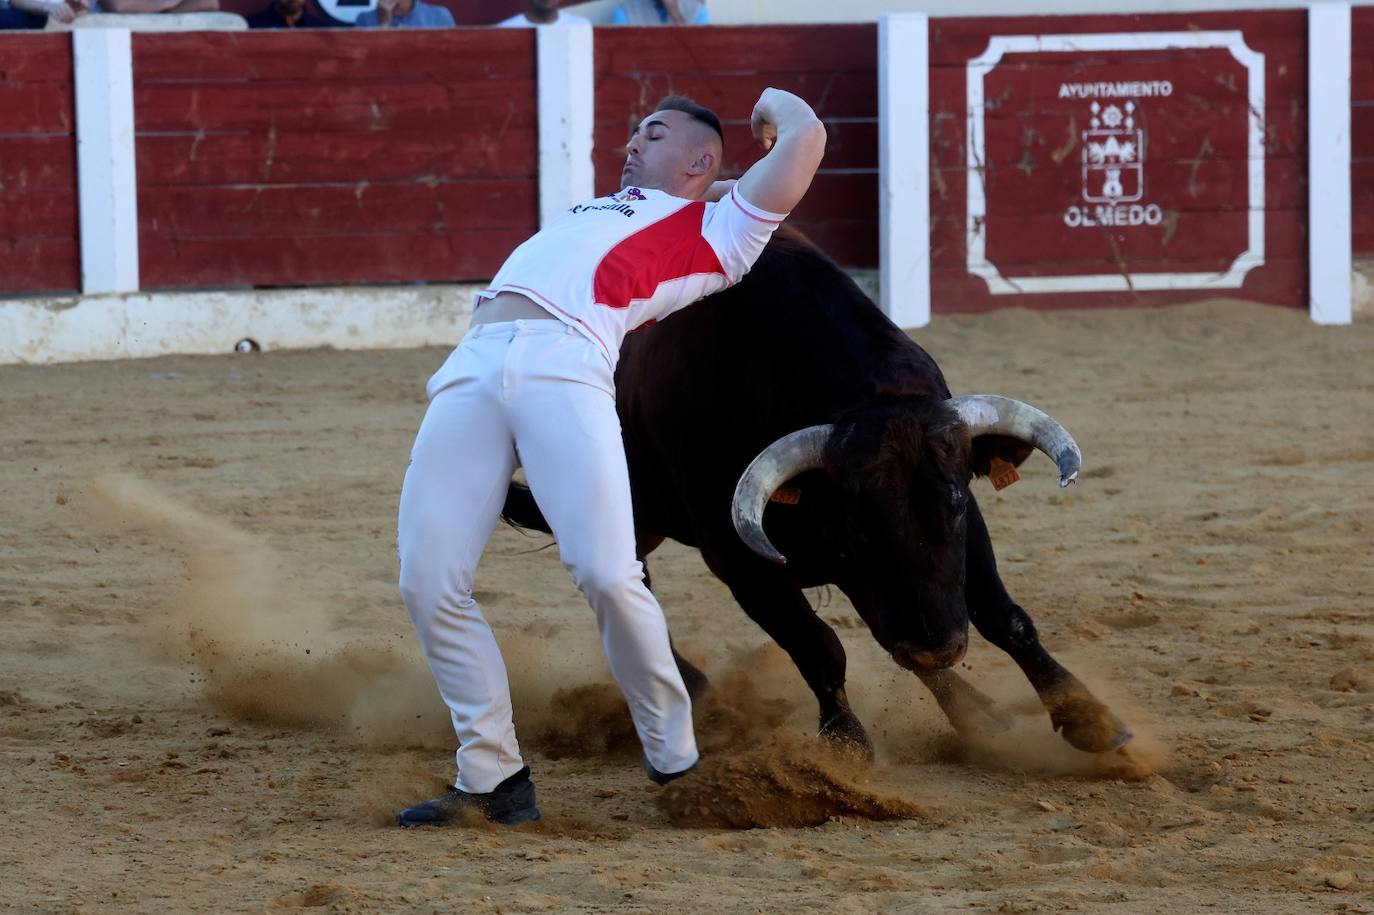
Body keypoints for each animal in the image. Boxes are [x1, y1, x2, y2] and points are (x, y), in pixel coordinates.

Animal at [500, 229, 1132, 752]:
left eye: (952, 508)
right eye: (857, 529)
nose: (938, 645)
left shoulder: (957, 527)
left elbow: (1002, 616)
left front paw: (1092, 721)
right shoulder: (738, 556)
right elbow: (818, 644)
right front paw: (844, 750)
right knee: (631, 588)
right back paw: (698, 694)